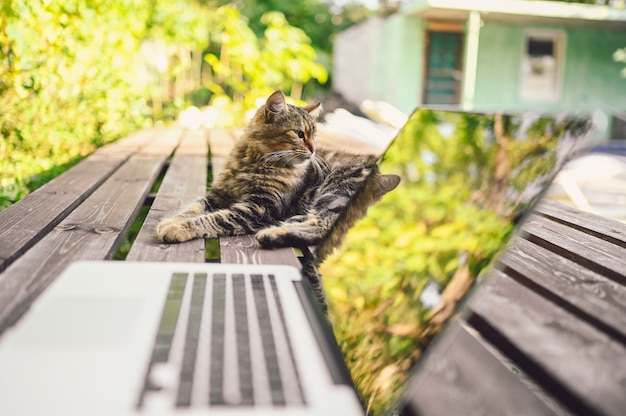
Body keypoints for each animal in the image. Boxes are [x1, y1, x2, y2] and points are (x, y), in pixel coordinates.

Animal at [154, 91, 398, 312]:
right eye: (299, 134)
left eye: (314, 136)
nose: (313, 149)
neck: (254, 162)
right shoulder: (219, 194)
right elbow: (193, 208)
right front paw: (173, 221)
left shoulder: (260, 207)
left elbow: (213, 219)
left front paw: (177, 228)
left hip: (334, 189)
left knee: (321, 226)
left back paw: (272, 234)